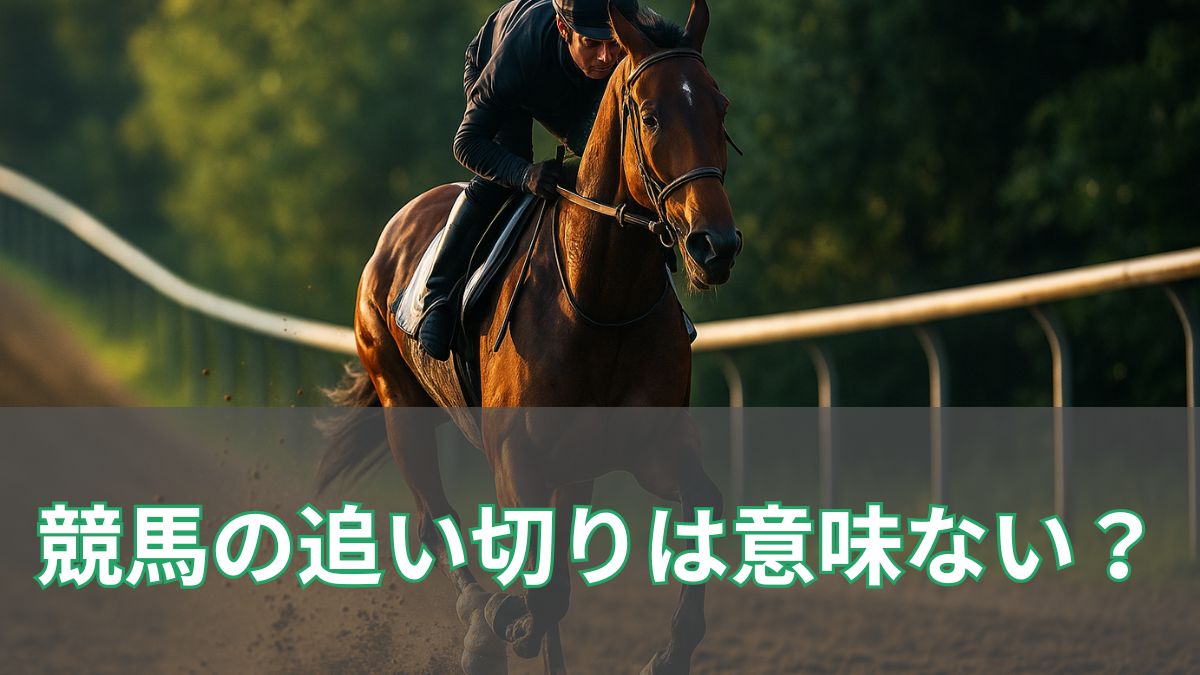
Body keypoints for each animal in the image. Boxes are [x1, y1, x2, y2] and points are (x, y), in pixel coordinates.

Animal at [321, 3, 739, 673]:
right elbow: (541, 588)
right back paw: (478, 622)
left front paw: (670, 651)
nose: (714, 245)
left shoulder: (649, 443)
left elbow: (702, 504)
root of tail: (395, 229)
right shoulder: (516, 456)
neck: (602, 300)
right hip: (400, 402)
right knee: (433, 519)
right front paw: (503, 622)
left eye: (720, 108)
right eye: (650, 115)